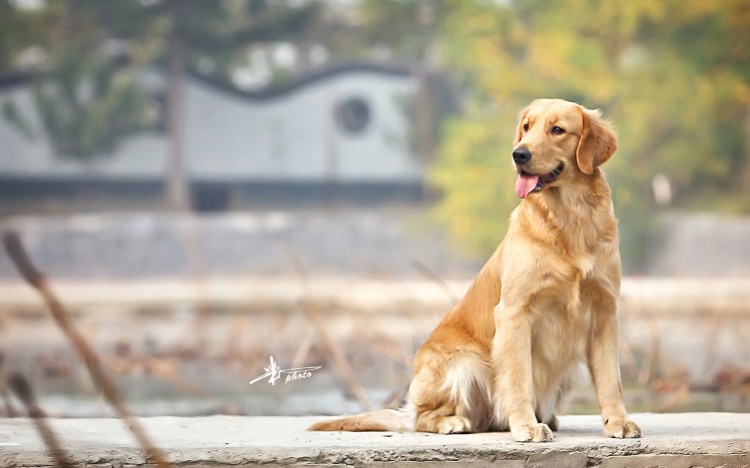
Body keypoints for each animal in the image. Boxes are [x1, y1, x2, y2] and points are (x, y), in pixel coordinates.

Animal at [308, 98, 644, 442]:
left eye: (557, 129)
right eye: (527, 127)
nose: (519, 154)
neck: (568, 220)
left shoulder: (604, 312)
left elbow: (611, 380)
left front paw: (618, 421)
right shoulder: (515, 312)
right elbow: (519, 377)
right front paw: (526, 425)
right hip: (463, 363)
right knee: (422, 418)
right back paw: (454, 422)